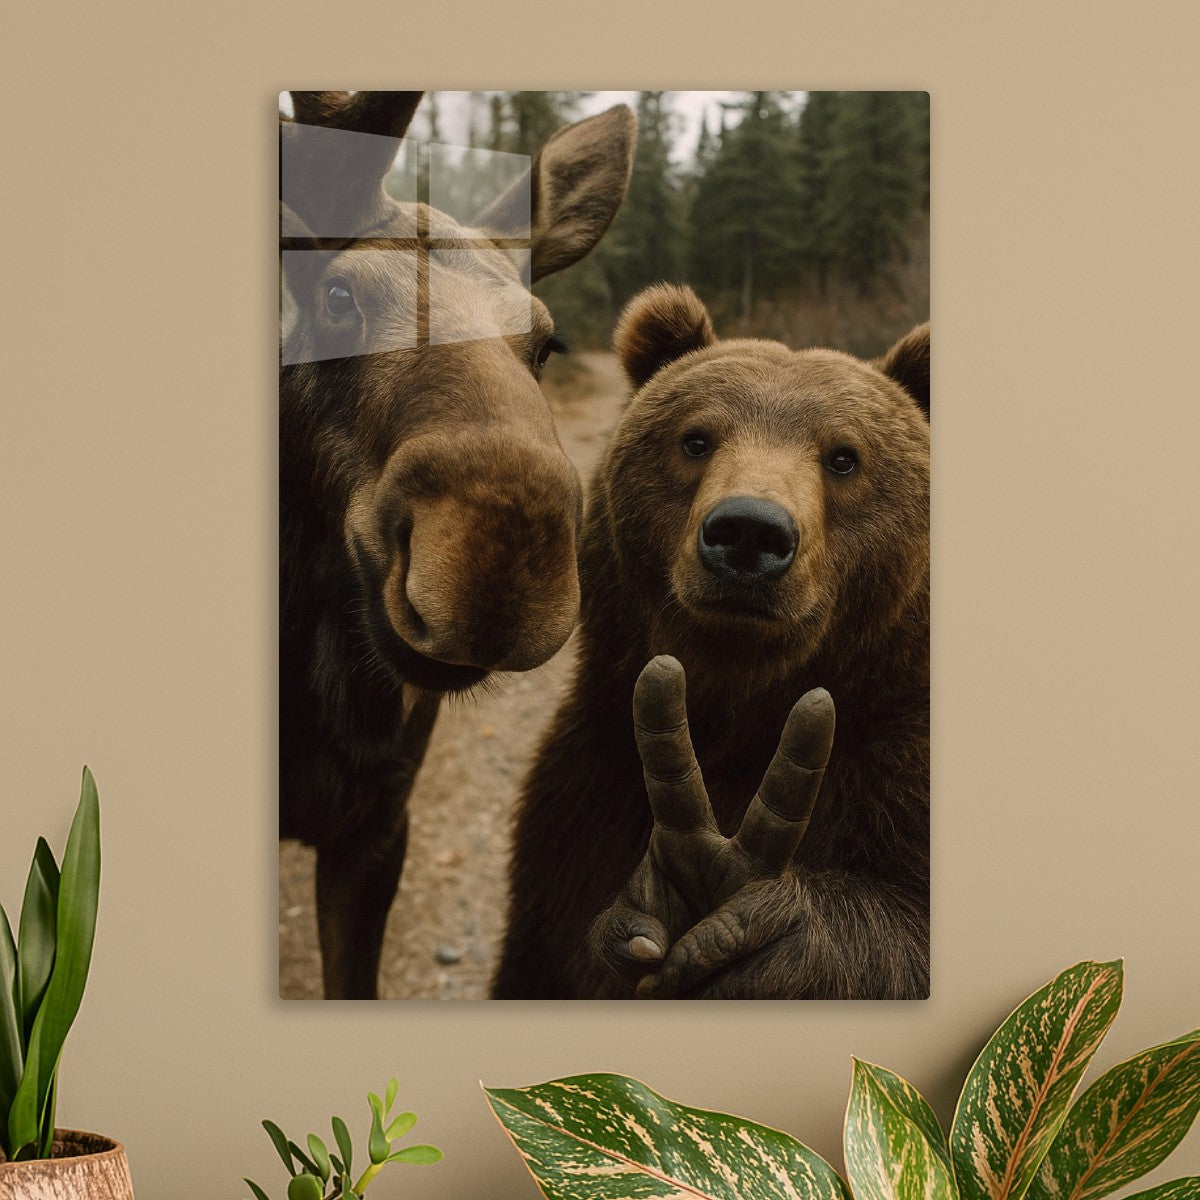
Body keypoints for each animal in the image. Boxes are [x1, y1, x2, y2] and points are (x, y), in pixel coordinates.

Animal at [492, 283, 929, 1000]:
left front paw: (755, 929)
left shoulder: (894, 780)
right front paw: (662, 897)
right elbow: (546, 952)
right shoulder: (585, 799)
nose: (749, 531)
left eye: (844, 457)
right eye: (696, 439)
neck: (737, 715)